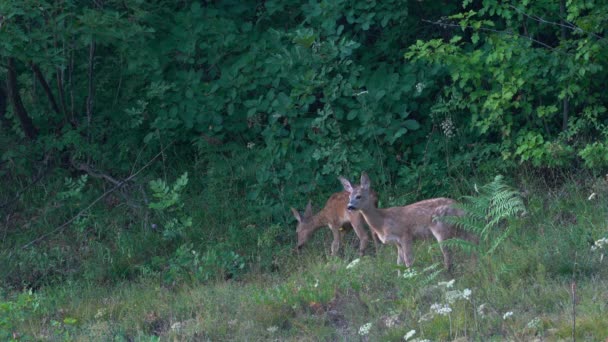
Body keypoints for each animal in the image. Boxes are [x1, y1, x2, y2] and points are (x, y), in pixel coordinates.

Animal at [338, 172, 476, 272]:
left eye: (359, 196)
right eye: (349, 197)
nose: (349, 206)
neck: (382, 221)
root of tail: (460, 207)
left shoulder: (405, 234)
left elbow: (408, 260)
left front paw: (411, 276)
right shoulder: (397, 242)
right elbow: (399, 262)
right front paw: (401, 278)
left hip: (441, 228)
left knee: (448, 253)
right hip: (459, 228)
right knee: (472, 241)